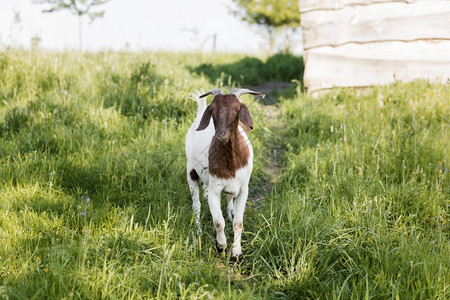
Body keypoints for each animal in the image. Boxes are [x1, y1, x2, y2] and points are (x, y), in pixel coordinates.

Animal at [185, 88, 266, 262]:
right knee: (197, 204)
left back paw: (230, 213)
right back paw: (198, 229)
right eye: (212, 111)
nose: (221, 135)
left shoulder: (243, 188)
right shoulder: (215, 189)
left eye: (236, 110)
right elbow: (218, 222)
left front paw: (237, 253)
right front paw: (221, 246)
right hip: (191, 171)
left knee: (228, 197)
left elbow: (238, 223)